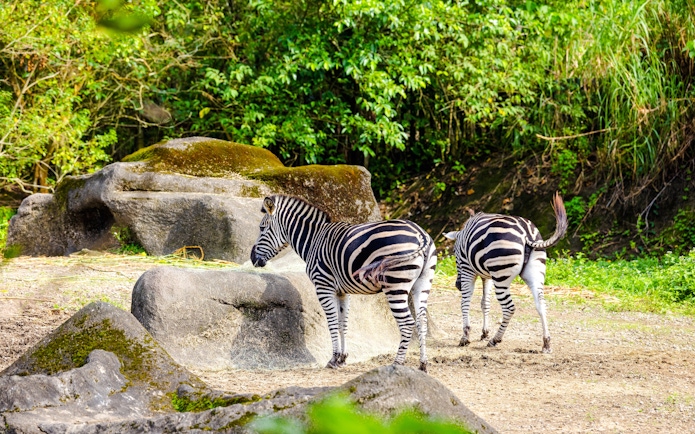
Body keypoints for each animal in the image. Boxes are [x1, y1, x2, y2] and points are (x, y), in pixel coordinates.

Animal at [250, 195, 437, 372]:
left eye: (262, 228)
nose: (252, 258)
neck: (313, 240)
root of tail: (421, 234)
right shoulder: (342, 292)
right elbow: (343, 324)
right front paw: (343, 358)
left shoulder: (323, 286)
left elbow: (332, 323)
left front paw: (333, 359)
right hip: (422, 284)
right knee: (421, 322)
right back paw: (423, 365)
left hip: (395, 284)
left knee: (407, 323)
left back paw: (397, 364)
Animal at [444, 192, 567, 353]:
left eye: (453, 252)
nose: (457, 285)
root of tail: (526, 233)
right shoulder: (487, 276)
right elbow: (485, 302)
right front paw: (484, 332)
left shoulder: (467, 269)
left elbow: (465, 301)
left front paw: (465, 337)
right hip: (534, 272)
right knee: (541, 304)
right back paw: (546, 343)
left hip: (500, 276)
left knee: (509, 308)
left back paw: (495, 340)